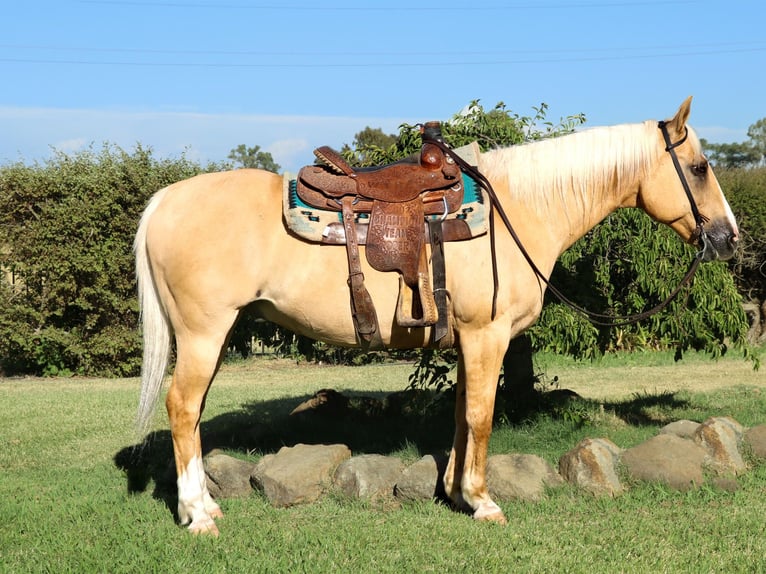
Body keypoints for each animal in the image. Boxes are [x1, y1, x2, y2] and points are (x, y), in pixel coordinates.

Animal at [133, 97, 739, 535]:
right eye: (700, 167)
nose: (728, 238)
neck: (519, 208)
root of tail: (164, 199)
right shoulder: (488, 336)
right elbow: (481, 416)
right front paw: (483, 501)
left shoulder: (470, 340)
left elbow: (461, 415)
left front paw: (454, 491)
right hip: (203, 334)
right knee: (182, 407)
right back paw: (199, 516)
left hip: (212, 337)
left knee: (192, 412)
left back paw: (202, 504)